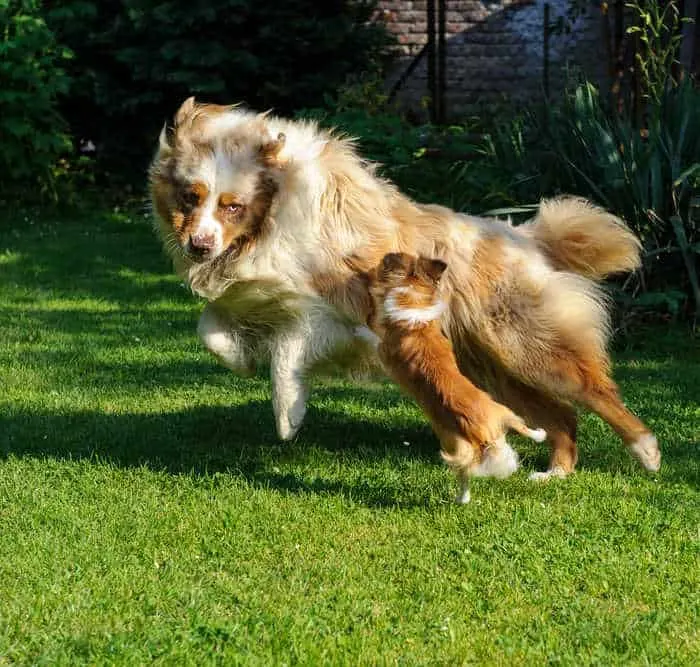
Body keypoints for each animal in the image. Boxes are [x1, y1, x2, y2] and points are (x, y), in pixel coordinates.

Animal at [149, 96, 660, 478]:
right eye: (191, 197)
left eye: (232, 206)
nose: (199, 245)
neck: (271, 219)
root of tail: (527, 236)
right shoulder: (253, 295)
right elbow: (212, 330)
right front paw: (243, 361)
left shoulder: (332, 309)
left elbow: (287, 352)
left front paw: (288, 416)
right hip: (488, 368)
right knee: (561, 415)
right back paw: (554, 473)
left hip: (526, 346)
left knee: (594, 390)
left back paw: (647, 452)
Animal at [356, 253, 548, 504]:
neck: (414, 303)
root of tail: (486, 431)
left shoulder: (384, 350)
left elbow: (372, 336)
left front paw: (360, 328)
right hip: (502, 411)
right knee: (522, 426)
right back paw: (541, 434)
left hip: (455, 445)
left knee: (464, 474)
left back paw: (461, 499)